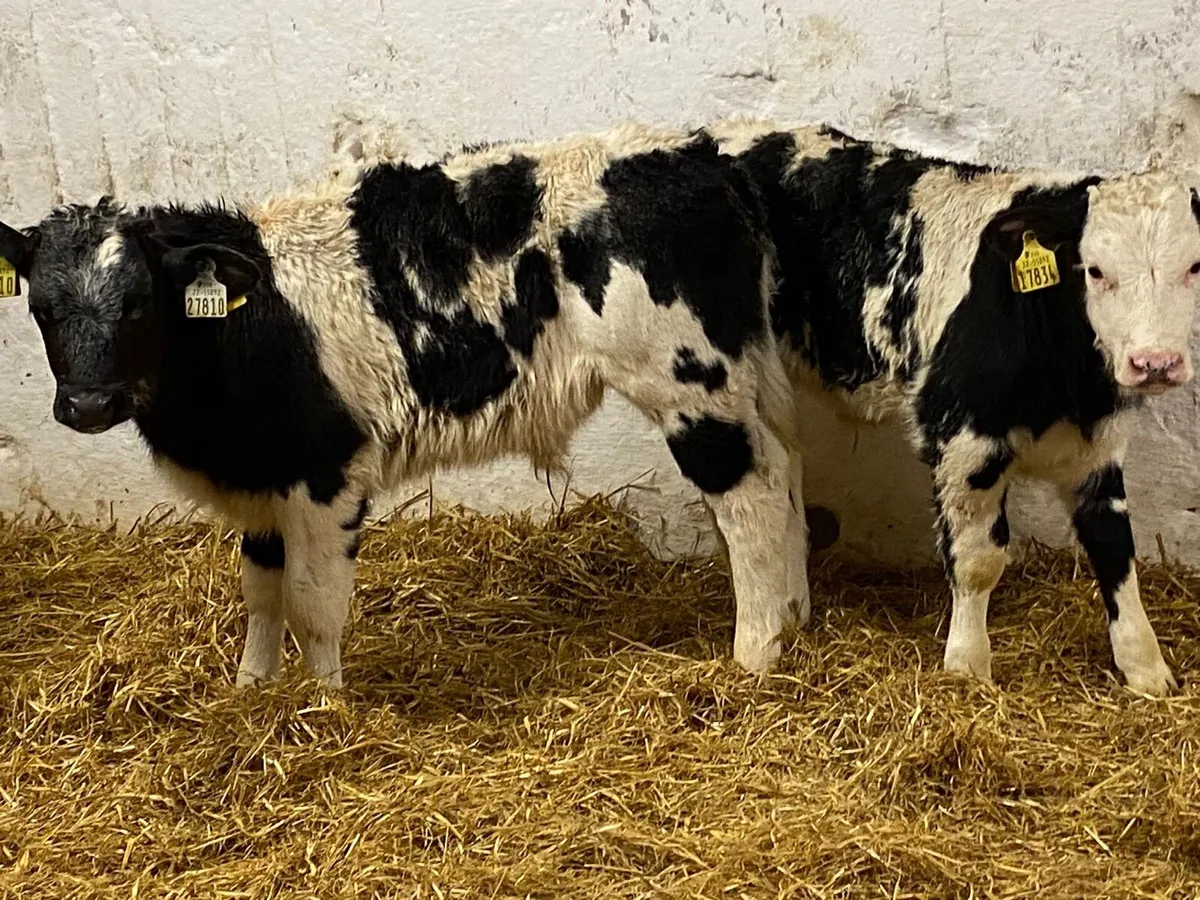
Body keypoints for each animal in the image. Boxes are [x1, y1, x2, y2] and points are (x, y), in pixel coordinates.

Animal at [0, 123, 811, 688]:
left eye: (139, 303)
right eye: (40, 308)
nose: (87, 404)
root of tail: (703, 157)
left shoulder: (326, 473)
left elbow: (312, 602)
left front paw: (323, 707)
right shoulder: (262, 476)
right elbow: (259, 591)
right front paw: (251, 689)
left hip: (688, 382)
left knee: (751, 497)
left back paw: (754, 656)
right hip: (749, 376)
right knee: (788, 470)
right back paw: (795, 620)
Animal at [703, 118, 1200, 695]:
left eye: (1194, 266)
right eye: (1094, 270)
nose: (1155, 362)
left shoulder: (1098, 446)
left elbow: (1114, 547)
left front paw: (1146, 668)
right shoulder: (962, 437)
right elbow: (979, 559)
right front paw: (967, 666)